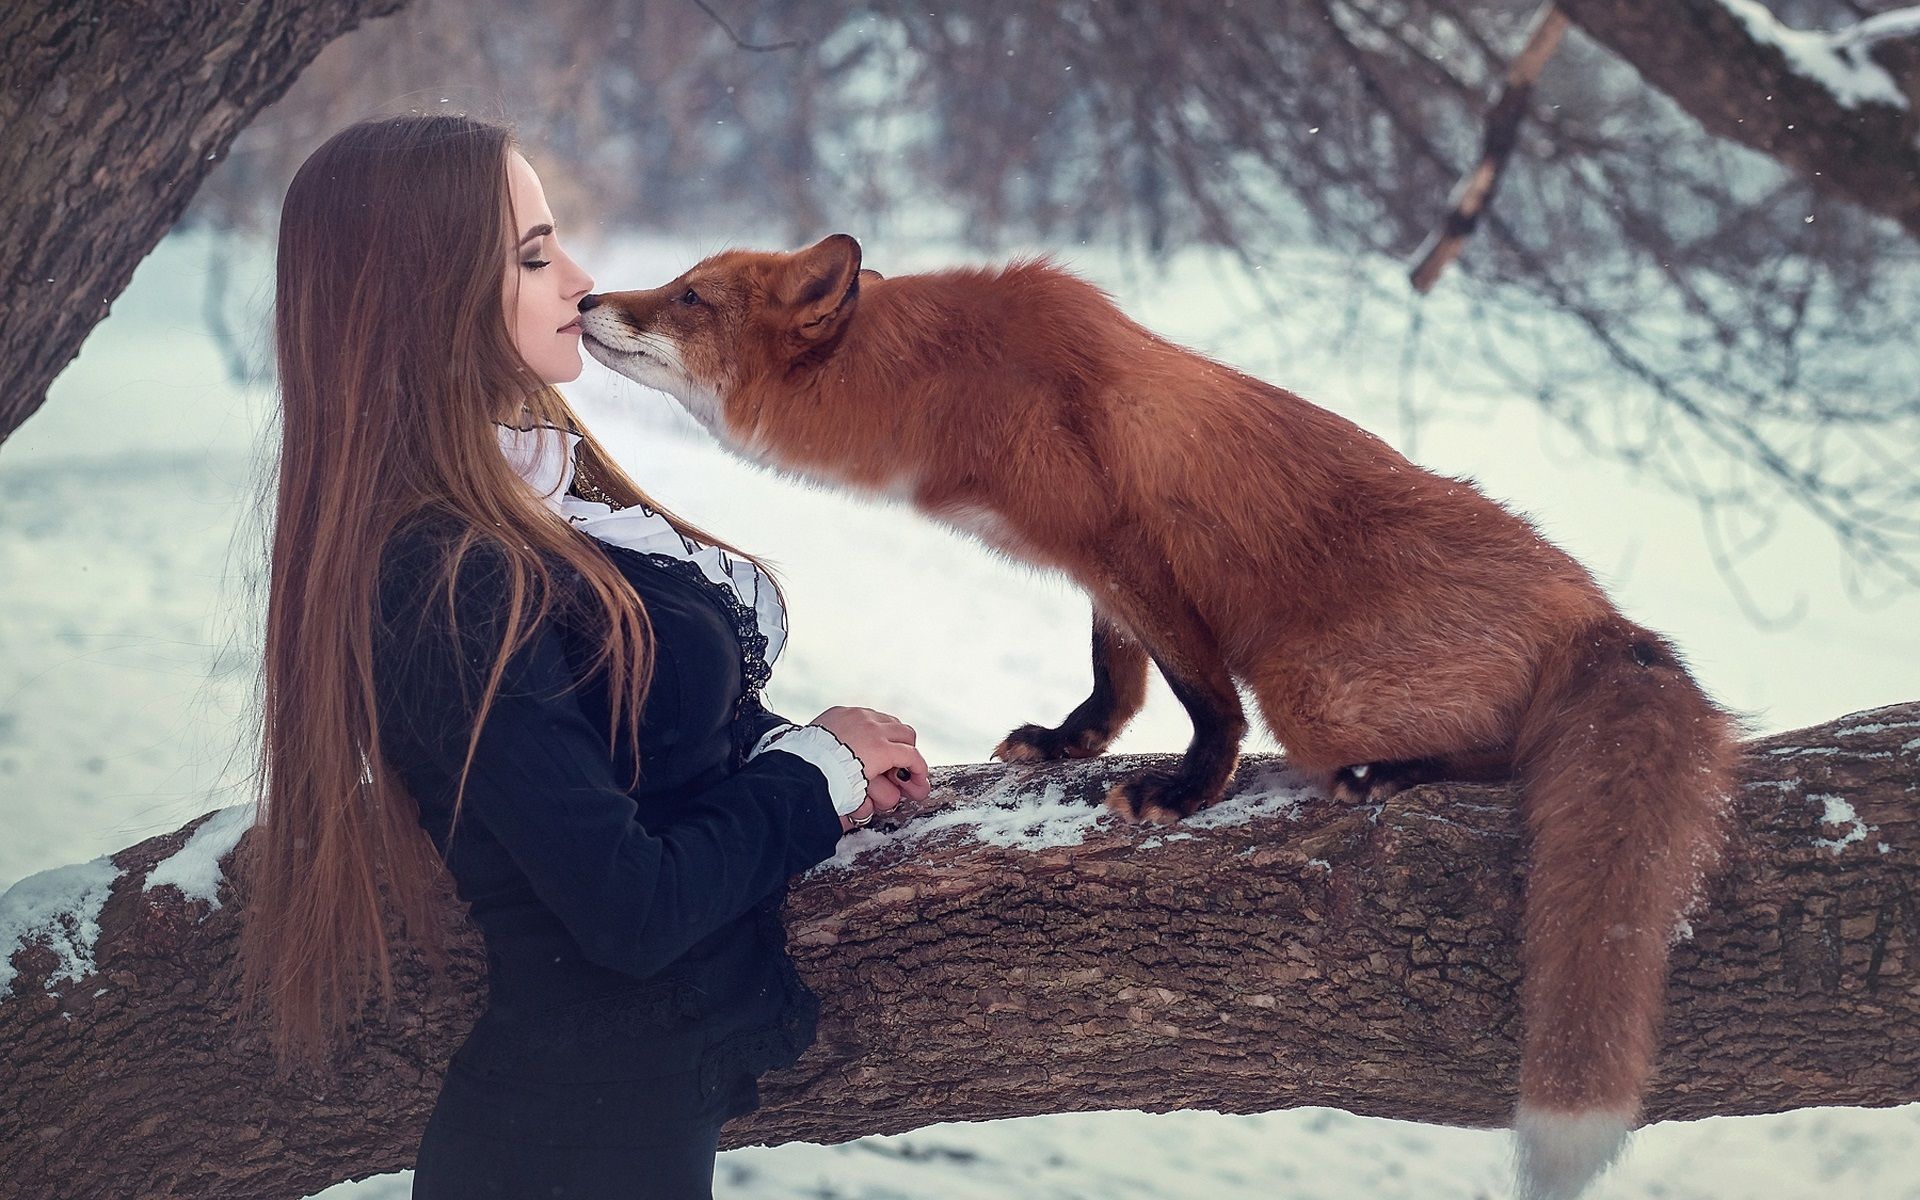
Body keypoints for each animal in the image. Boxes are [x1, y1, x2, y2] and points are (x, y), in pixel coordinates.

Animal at [576, 234, 1739, 1200]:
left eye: (688, 298)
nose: (587, 297)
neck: (945, 385)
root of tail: (1602, 618)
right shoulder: (1101, 576)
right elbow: (1116, 676)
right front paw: (1072, 742)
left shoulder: (1132, 550)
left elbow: (1200, 695)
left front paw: (1186, 788)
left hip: (1310, 686)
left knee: (1500, 753)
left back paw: (1402, 774)